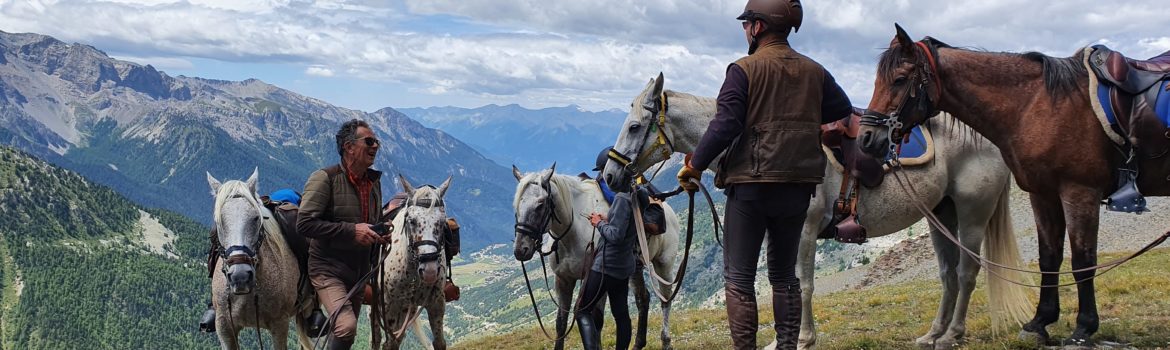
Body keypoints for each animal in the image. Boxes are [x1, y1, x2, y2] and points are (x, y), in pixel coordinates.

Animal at [369, 175, 451, 350]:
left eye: (442, 222)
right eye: (412, 221)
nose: (429, 271)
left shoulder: (436, 301)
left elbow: (439, 342)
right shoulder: (389, 306)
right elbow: (389, 342)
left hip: (408, 308)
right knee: (377, 336)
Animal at [514, 165, 683, 350]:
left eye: (540, 204)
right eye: (517, 205)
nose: (521, 250)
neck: (575, 229)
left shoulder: (595, 280)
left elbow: (596, 319)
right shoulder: (563, 280)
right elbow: (561, 322)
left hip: (663, 264)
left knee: (665, 299)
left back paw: (666, 341)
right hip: (634, 270)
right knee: (643, 298)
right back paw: (638, 344)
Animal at [603, 74, 1034, 350]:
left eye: (636, 126)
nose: (608, 173)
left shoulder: (805, 230)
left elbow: (803, 284)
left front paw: (803, 339)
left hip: (972, 215)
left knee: (967, 272)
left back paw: (953, 334)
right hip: (940, 215)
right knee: (947, 274)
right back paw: (933, 334)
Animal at [856, 24, 1165, 348]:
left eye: (900, 79)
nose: (866, 139)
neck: (1040, 104)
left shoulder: (1080, 192)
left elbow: (1082, 259)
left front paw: (1083, 328)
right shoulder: (1044, 194)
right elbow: (1049, 256)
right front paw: (1039, 323)